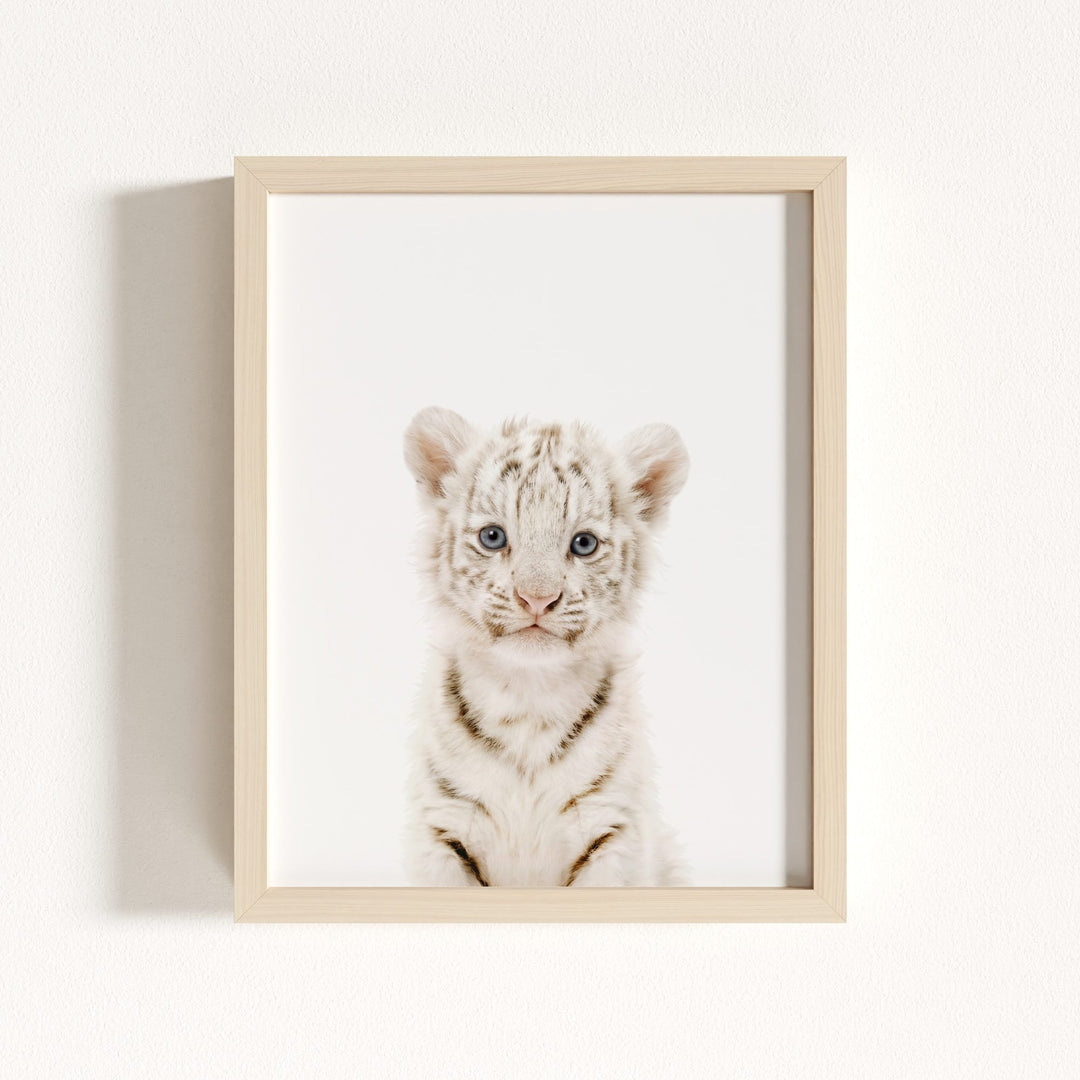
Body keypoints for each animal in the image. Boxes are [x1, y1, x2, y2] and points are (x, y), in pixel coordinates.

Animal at [402, 406, 689, 887]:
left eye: (584, 543)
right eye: (493, 537)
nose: (537, 598)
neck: (528, 697)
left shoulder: (613, 830)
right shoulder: (442, 828)